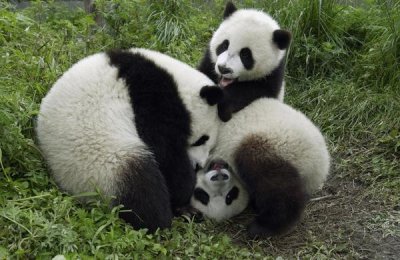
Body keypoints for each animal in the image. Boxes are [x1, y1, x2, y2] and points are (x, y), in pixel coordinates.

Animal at [36, 47, 225, 233]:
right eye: (202, 139)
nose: (199, 165)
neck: (177, 82)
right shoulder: (152, 97)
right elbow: (165, 151)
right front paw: (184, 188)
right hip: (103, 164)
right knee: (142, 188)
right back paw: (161, 218)